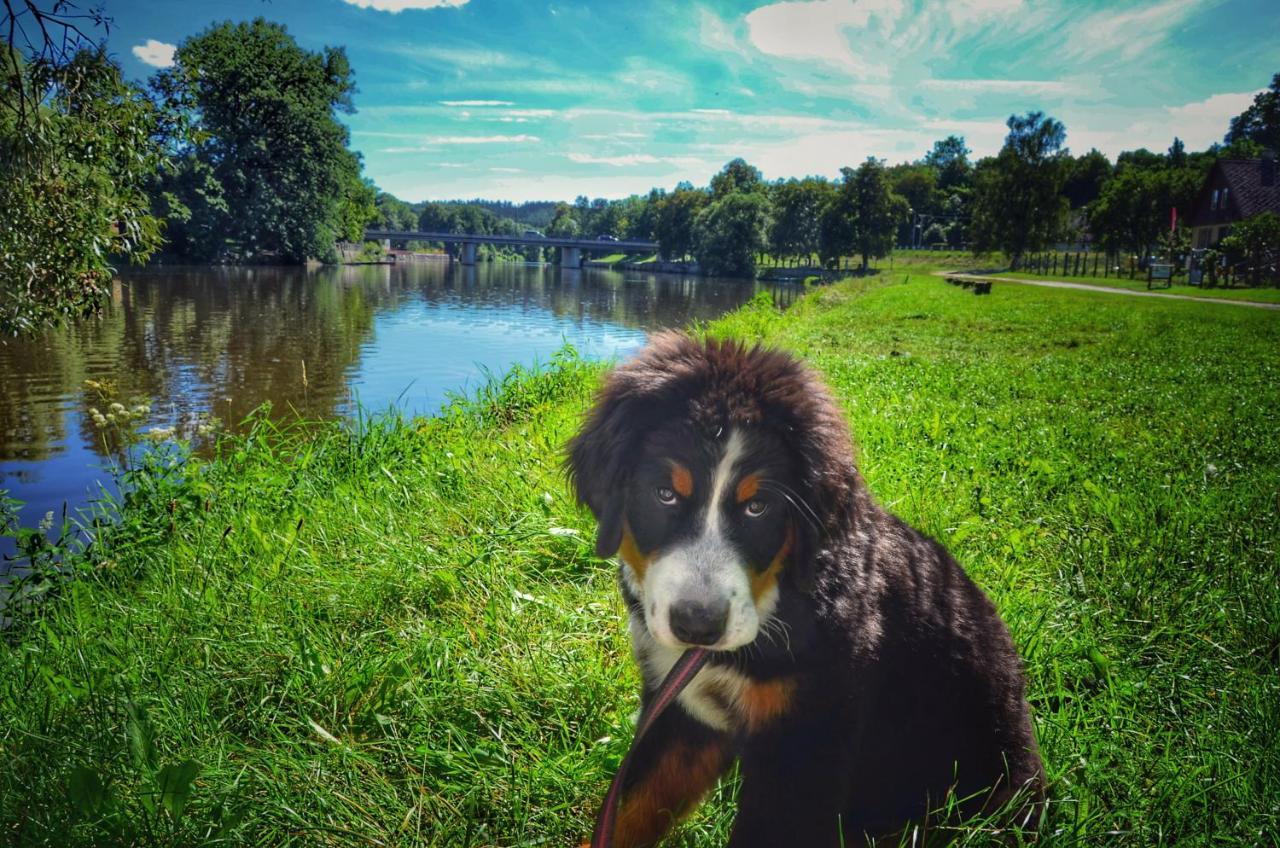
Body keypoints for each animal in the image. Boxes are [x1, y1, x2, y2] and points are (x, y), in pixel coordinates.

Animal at [568, 335, 1039, 845]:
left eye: (758, 507)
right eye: (664, 495)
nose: (698, 624)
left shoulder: (804, 745)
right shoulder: (683, 716)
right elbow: (630, 812)